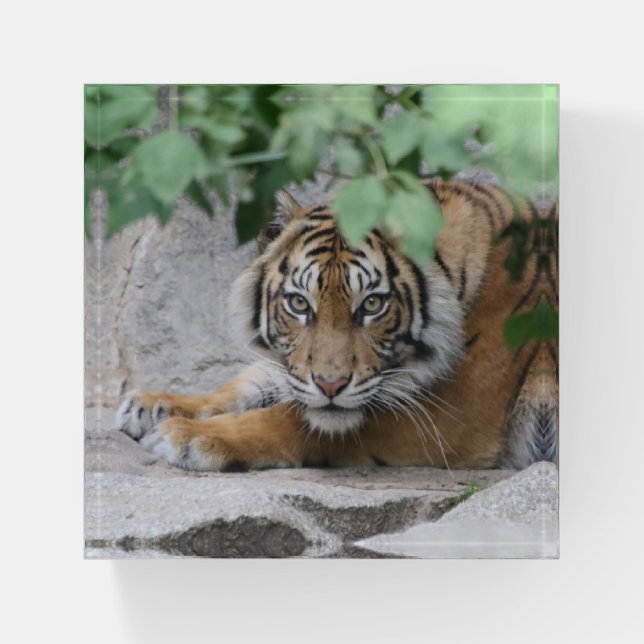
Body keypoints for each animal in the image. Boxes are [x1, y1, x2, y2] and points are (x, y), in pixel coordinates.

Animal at [116, 178, 558, 472]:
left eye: (373, 304)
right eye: (298, 303)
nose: (331, 386)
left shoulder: (452, 416)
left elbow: (293, 420)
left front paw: (186, 436)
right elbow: (251, 382)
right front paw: (153, 404)